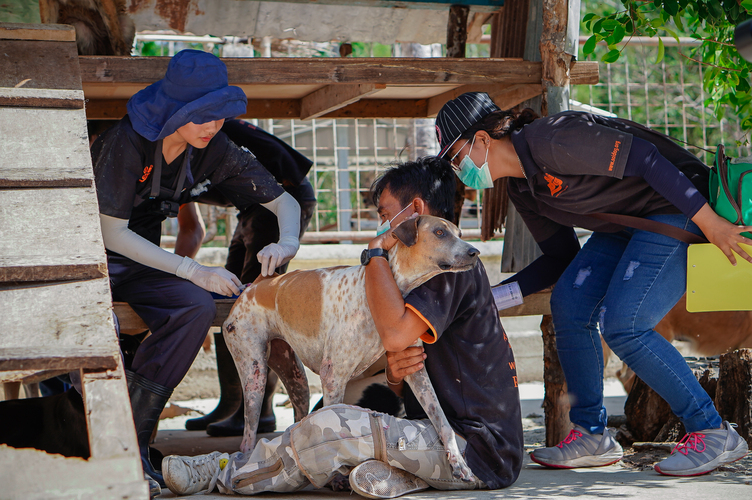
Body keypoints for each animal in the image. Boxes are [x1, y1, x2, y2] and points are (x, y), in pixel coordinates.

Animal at [223, 215, 478, 480]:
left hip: (296, 379)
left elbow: (443, 422)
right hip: (254, 375)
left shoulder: (415, 371)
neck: (383, 289)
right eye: (439, 232)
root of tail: (261, 283)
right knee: (248, 433)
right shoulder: (333, 376)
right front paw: (336, 477)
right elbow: (328, 428)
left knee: (298, 419)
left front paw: (458, 461)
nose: (475, 252)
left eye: (459, 233)